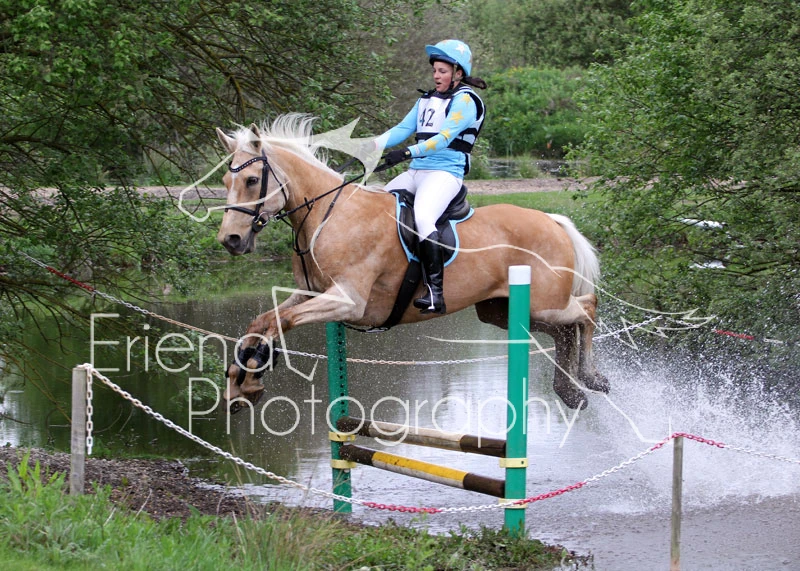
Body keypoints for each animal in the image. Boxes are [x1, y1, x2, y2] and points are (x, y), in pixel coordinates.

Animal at [214, 114, 609, 414]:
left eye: (252, 180)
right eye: (224, 181)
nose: (230, 240)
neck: (330, 215)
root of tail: (553, 220)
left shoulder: (348, 301)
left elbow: (279, 322)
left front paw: (251, 376)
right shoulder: (310, 294)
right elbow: (262, 321)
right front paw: (240, 382)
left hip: (545, 302)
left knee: (586, 309)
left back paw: (591, 377)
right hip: (503, 310)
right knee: (564, 330)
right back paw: (570, 391)